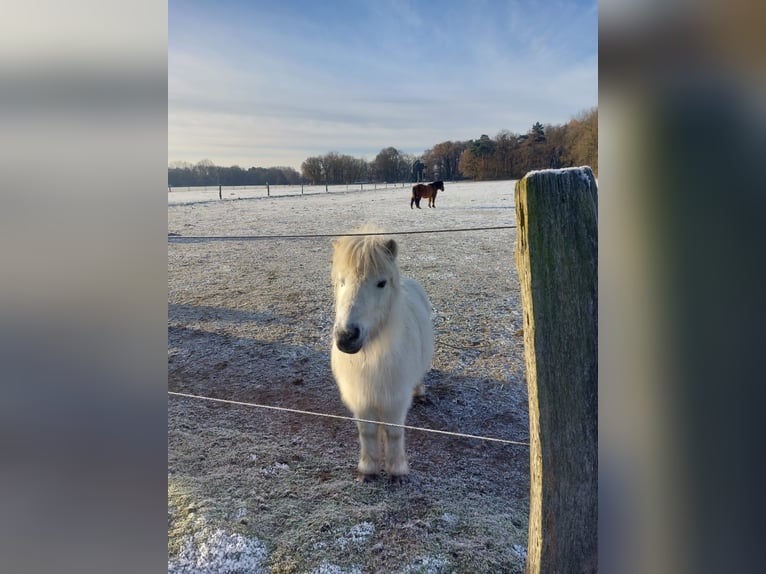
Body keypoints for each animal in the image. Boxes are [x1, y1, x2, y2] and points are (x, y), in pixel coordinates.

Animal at [332, 225, 436, 486]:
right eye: (341, 281)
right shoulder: (361, 398)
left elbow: (393, 432)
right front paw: (368, 469)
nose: (347, 337)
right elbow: (367, 432)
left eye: (381, 283)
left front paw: (396, 471)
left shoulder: (395, 399)